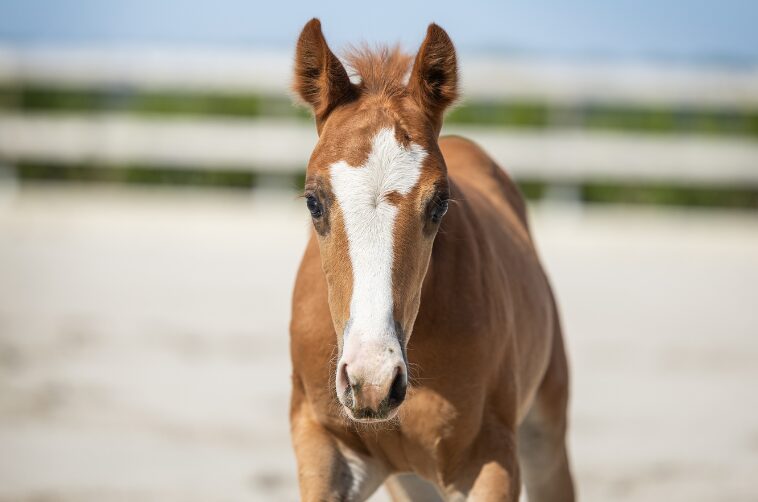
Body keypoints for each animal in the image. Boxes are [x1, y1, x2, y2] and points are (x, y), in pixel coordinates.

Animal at [289, 18, 575, 501]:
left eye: (439, 204)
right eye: (313, 201)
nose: (373, 381)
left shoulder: (491, 459)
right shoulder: (324, 447)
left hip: (545, 434)